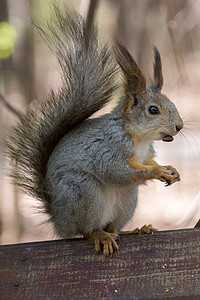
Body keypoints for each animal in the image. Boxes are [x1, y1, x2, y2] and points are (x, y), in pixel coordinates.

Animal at [6, 6, 183, 255]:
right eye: (153, 110)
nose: (180, 126)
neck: (138, 138)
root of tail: (58, 221)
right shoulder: (108, 149)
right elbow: (116, 172)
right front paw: (156, 172)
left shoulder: (146, 153)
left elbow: (148, 163)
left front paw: (171, 170)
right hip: (82, 191)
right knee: (86, 230)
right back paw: (99, 235)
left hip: (128, 197)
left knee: (114, 225)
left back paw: (133, 230)